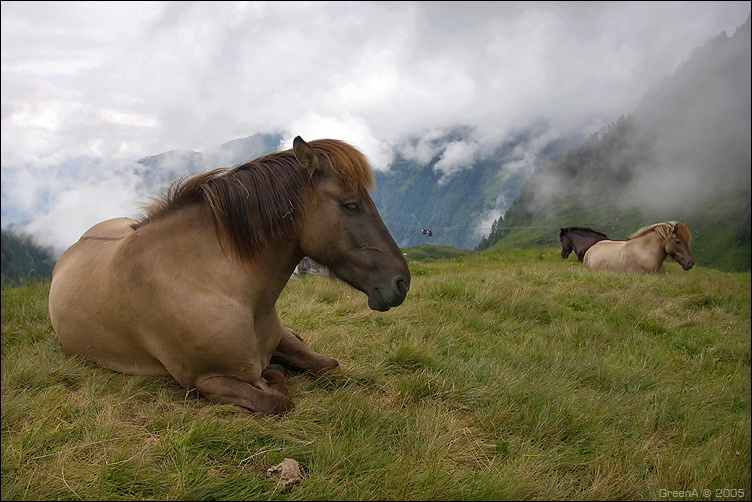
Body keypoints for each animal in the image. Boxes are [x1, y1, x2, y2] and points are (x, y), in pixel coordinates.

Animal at [48, 136, 411, 416]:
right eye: (351, 206)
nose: (401, 282)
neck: (214, 285)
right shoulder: (206, 380)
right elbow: (275, 400)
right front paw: (275, 376)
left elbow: (325, 364)